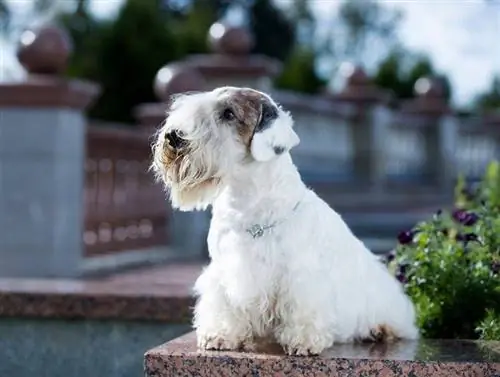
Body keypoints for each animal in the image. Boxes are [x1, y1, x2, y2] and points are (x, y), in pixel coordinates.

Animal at [152, 86, 418, 356]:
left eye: (228, 113)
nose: (173, 137)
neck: (248, 204)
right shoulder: (224, 273)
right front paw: (220, 335)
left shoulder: (301, 277)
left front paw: (304, 342)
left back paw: (380, 330)